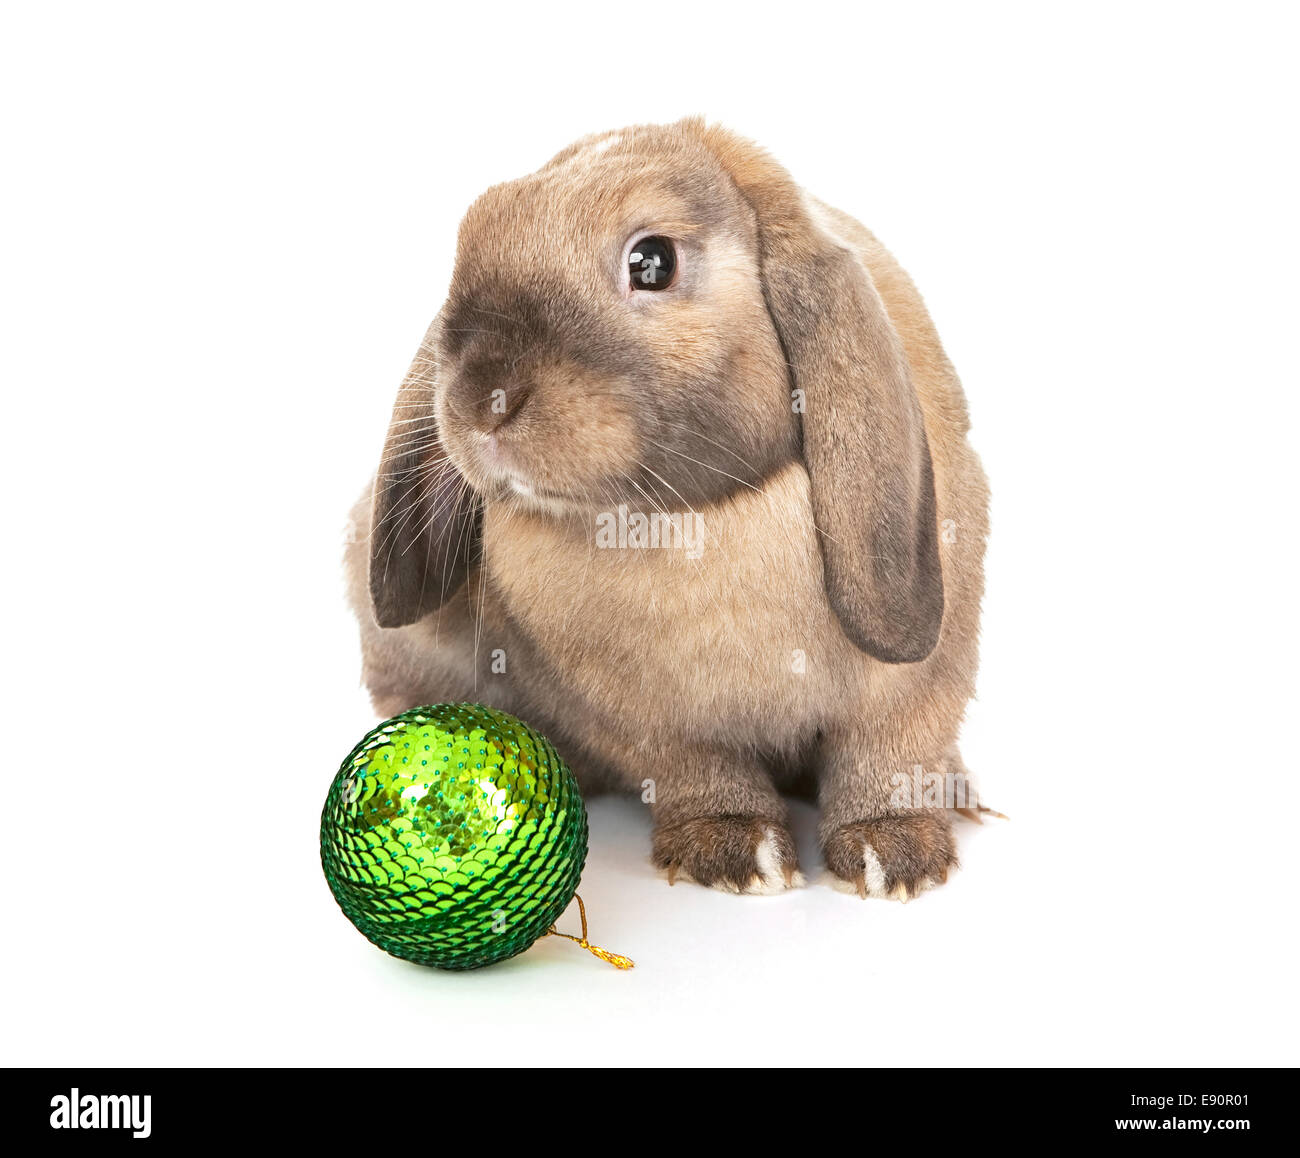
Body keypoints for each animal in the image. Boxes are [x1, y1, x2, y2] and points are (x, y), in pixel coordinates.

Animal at [344, 118, 990, 900]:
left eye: (652, 262)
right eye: (472, 237)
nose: (481, 401)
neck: (685, 520)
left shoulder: (914, 684)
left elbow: (887, 756)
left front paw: (892, 855)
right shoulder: (646, 722)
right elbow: (697, 771)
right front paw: (735, 850)